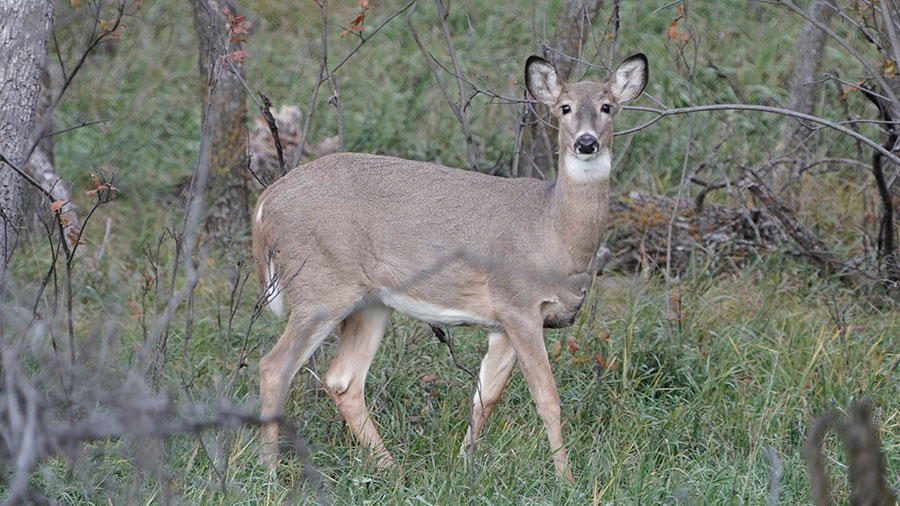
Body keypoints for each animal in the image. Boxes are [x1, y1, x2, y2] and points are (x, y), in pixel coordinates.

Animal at [251, 53, 648, 481]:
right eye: (565, 107)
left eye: (607, 106)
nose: (586, 143)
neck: (552, 230)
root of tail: (265, 201)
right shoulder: (518, 303)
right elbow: (547, 397)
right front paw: (566, 479)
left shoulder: (503, 323)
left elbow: (485, 397)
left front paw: (463, 466)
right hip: (320, 286)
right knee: (274, 366)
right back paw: (270, 470)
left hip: (371, 302)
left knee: (343, 379)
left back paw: (392, 469)